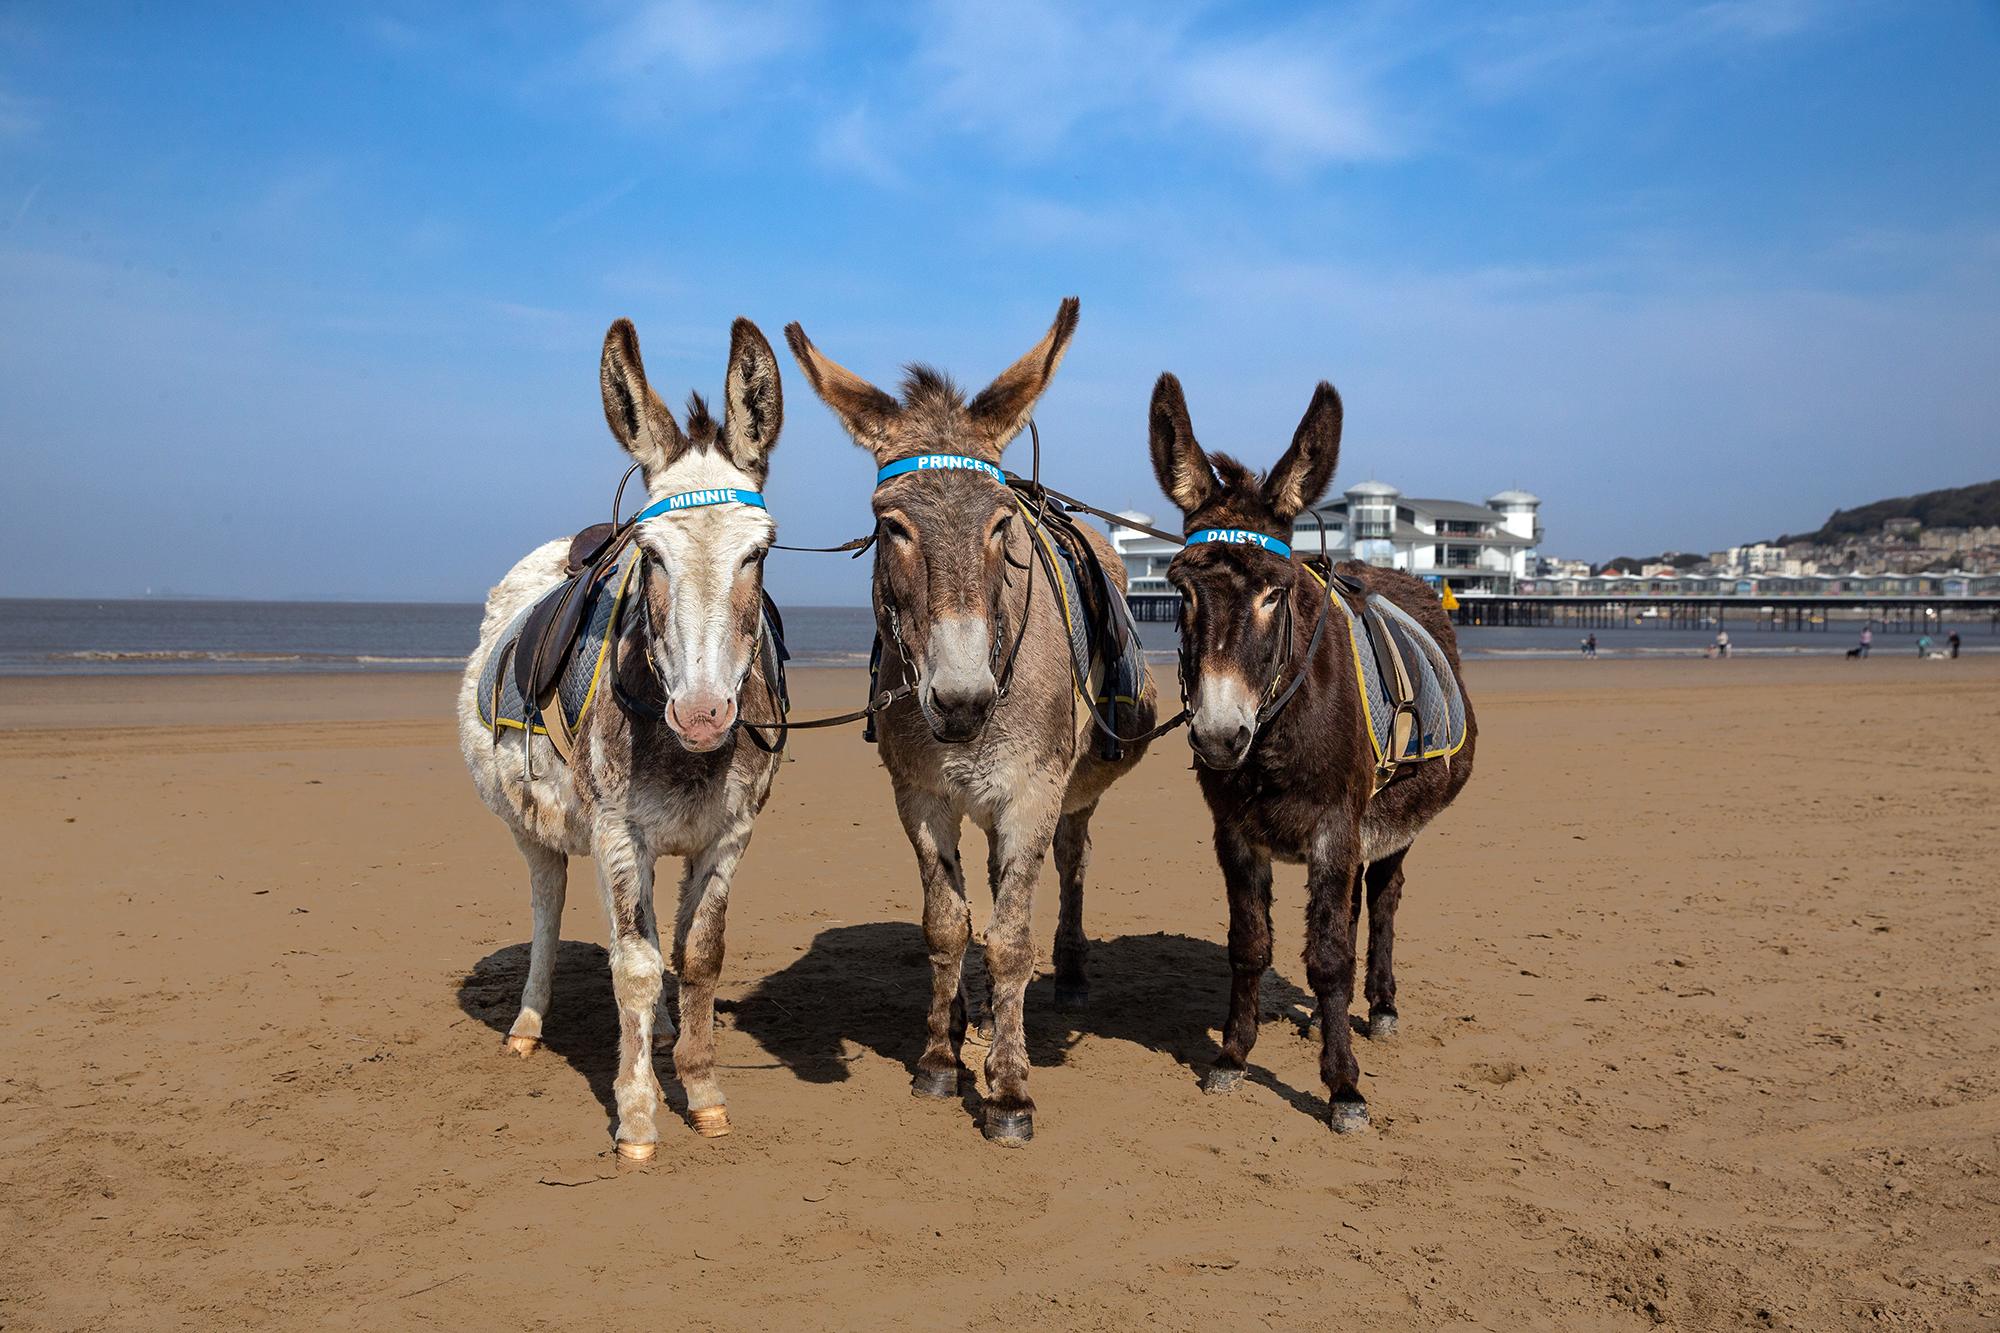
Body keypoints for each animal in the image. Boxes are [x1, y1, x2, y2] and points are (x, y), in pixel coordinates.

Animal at [456, 317, 787, 1158]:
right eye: (653, 553)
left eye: (758, 551)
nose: (702, 715)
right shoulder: (616, 829)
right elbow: (633, 965)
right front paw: (637, 1115)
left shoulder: (729, 832)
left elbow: (697, 956)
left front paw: (701, 1089)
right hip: (539, 829)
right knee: (548, 908)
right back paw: (528, 1025)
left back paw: (663, 1031)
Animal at [782, 298, 1159, 1144]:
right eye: (891, 524)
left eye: (1000, 525)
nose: (961, 701)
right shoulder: (922, 796)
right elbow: (948, 924)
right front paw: (940, 1057)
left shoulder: (1032, 792)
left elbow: (1012, 939)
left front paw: (1011, 1090)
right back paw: (975, 1019)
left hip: (1071, 791)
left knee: (1071, 865)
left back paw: (1065, 976)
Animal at [1146, 371, 1477, 1133]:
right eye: (1180, 590)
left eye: (1276, 592)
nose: (1218, 737)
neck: (1275, 730)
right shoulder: (1236, 832)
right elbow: (1249, 946)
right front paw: (1233, 1054)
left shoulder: (1335, 827)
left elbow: (1328, 957)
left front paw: (1344, 1087)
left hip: (1392, 823)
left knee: (1381, 903)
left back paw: (1378, 1007)